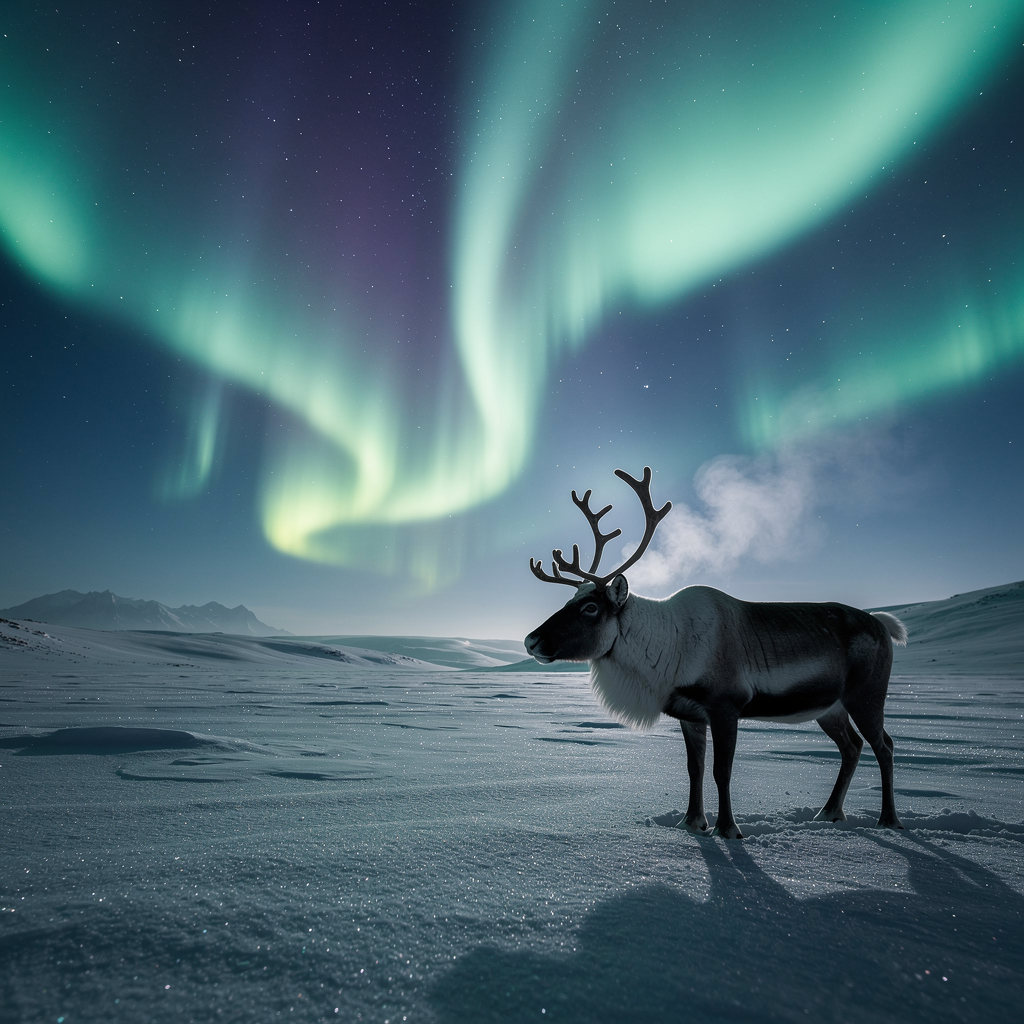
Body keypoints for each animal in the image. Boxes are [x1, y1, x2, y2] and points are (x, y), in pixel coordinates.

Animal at [524, 467, 908, 839]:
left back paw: (889, 820)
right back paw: (829, 812)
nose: (530, 640)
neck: (669, 647)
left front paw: (728, 829)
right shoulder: (690, 714)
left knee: (884, 745)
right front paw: (692, 822)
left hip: (866, 695)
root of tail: (881, 623)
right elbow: (694, 768)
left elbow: (721, 770)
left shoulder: (726, 706)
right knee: (852, 747)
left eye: (590, 608)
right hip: (829, 707)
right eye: (569, 601)